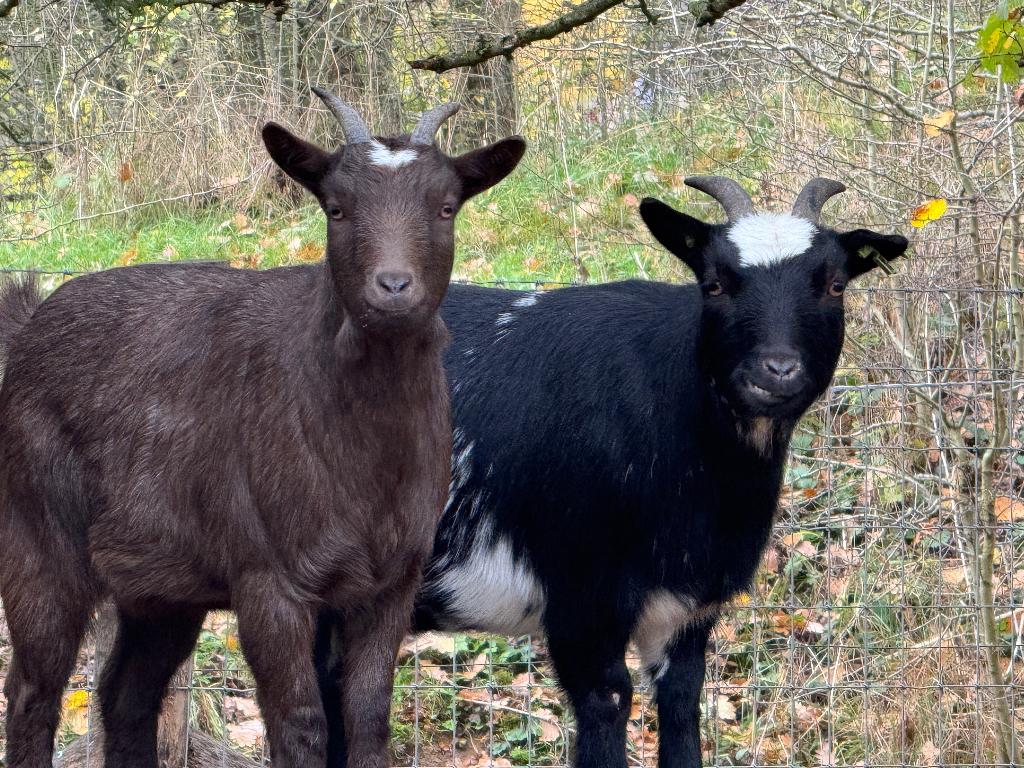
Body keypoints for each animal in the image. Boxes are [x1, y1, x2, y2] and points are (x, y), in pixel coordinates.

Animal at [0, 90, 525, 768]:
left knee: (125, 696)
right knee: (32, 690)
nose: (393, 287)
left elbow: (367, 716)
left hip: (163, 585)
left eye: (445, 206)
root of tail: (28, 322)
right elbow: (300, 724)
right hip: (37, 539)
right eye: (336, 206)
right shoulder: (269, 580)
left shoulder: (392, 583)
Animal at [316, 177, 908, 768]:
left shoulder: (687, 611)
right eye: (714, 284)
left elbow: (682, 707)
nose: (776, 371)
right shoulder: (581, 604)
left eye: (835, 285)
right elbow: (609, 703)